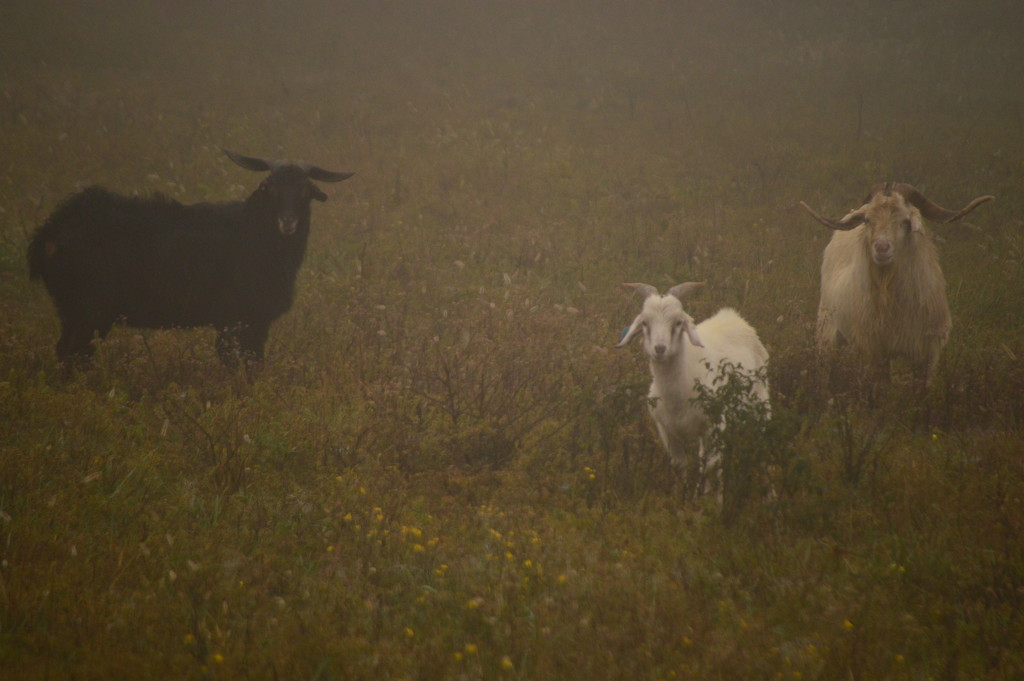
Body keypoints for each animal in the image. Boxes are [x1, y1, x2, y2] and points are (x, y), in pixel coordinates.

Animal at [27, 150, 352, 372]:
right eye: (269, 187)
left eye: (306, 190)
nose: (287, 222)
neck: (251, 234)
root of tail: (49, 233)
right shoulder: (239, 319)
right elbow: (242, 367)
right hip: (90, 309)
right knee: (75, 354)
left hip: (71, 308)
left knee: (64, 351)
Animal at [614, 280, 770, 493]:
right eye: (645, 323)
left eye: (678, 322)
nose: (660, 349)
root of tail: (733, 317)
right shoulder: (668, 433)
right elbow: (681, 468)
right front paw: (683, 497)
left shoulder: (714, 426)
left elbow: (712, 469)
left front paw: (710, 502)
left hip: (760, 410)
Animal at [798, 182, 991, 387]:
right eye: (867, 220)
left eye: (905, 221)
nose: (881, 248)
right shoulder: (876, 351)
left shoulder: (926, 355)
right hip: (827, 332)